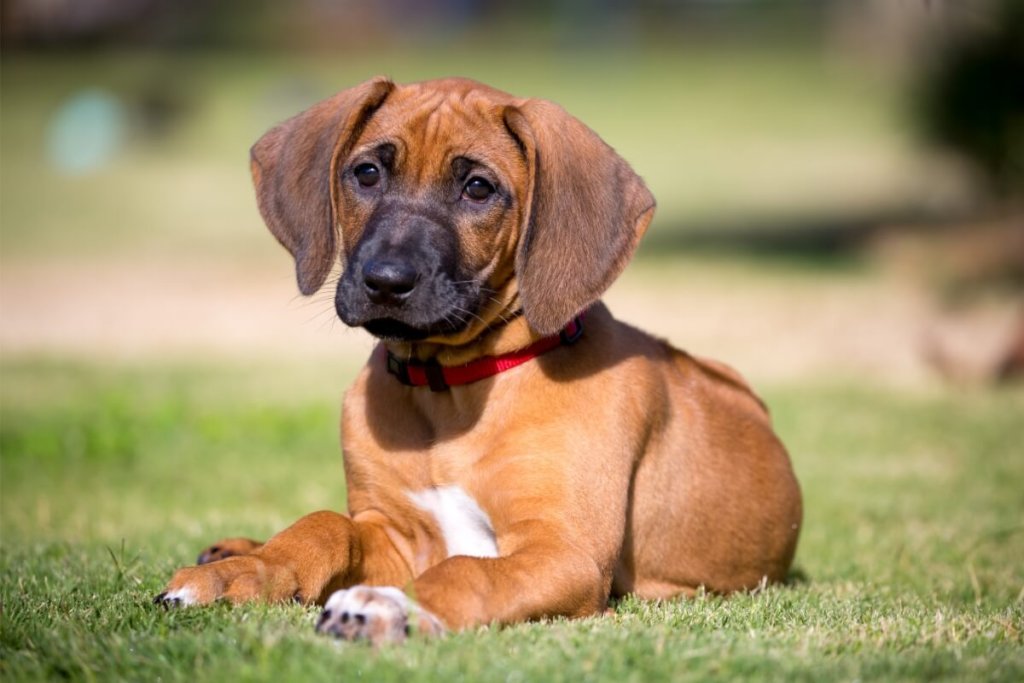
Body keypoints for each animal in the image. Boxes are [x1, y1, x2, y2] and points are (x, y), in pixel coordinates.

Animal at [155, 77, 802, 643]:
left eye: (478, 189)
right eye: (367, 173)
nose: (385, 281)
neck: (450, 389)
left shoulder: (564, 551)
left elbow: (467, 571)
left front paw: (389, 606)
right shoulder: (394, 533)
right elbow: (325, 525)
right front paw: (243, 572)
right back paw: (232, 549)